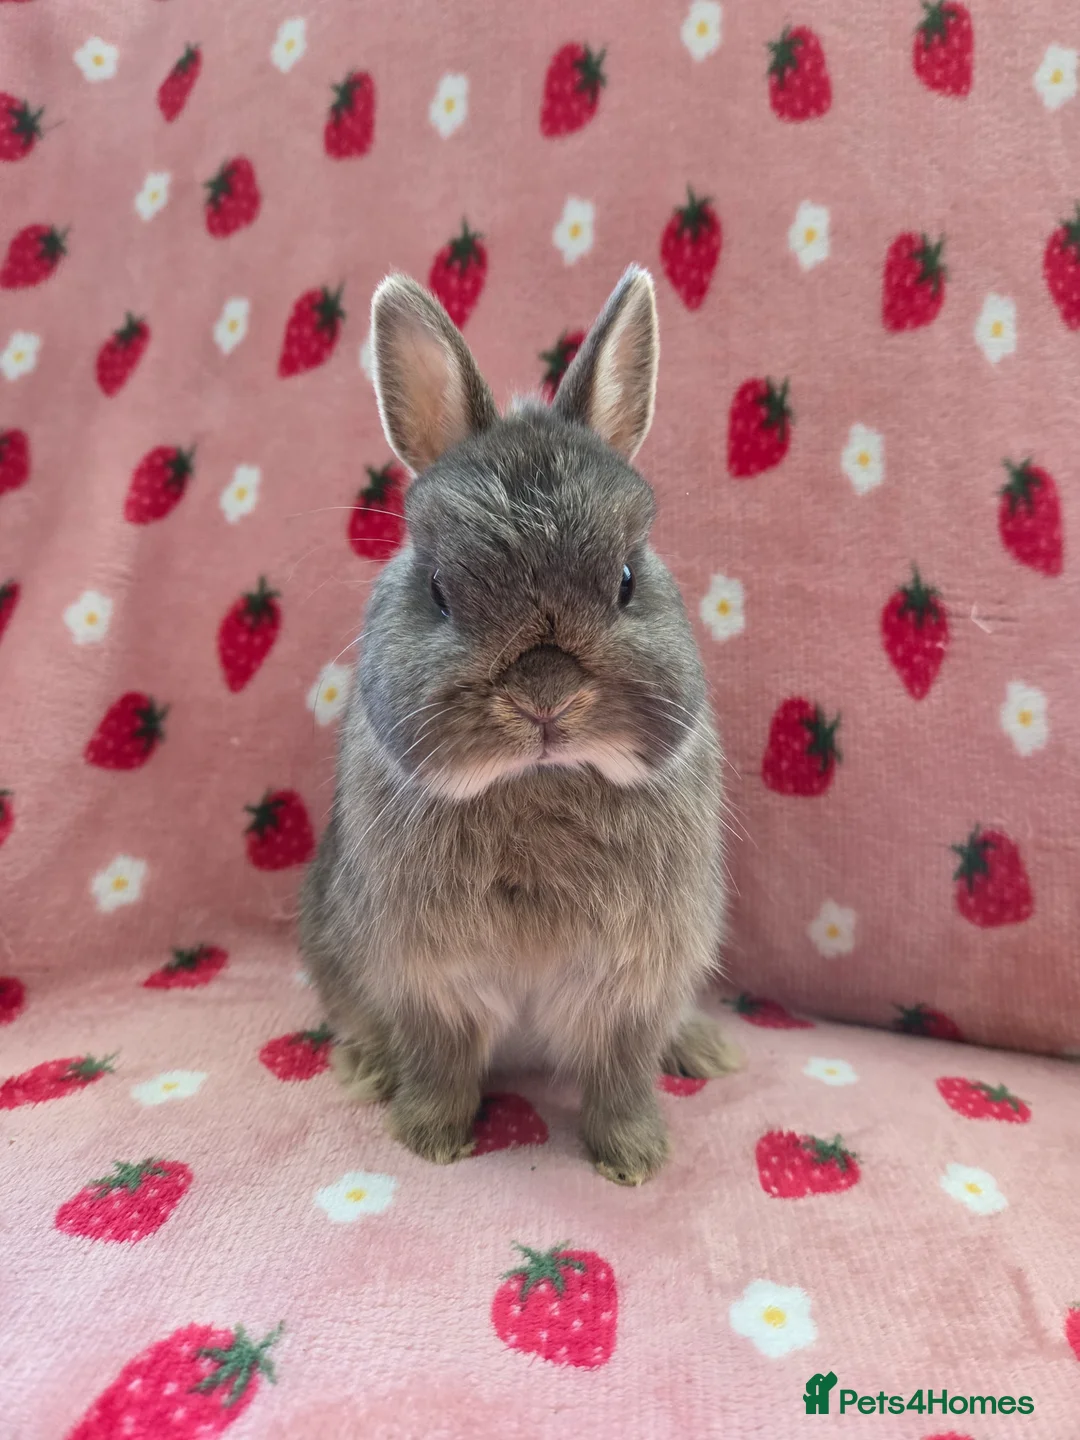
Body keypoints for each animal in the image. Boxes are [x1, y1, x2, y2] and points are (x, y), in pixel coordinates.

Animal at [300, 264, 740, 1186]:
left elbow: (621, 1074)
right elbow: (440, 1063)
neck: (537, 783)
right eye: (438, 591)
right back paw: (363, 1068)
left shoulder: (635, 987)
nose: (546, 696)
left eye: (626, 579)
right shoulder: (428, 982)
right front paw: (428, 1140)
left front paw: (634, 1160)